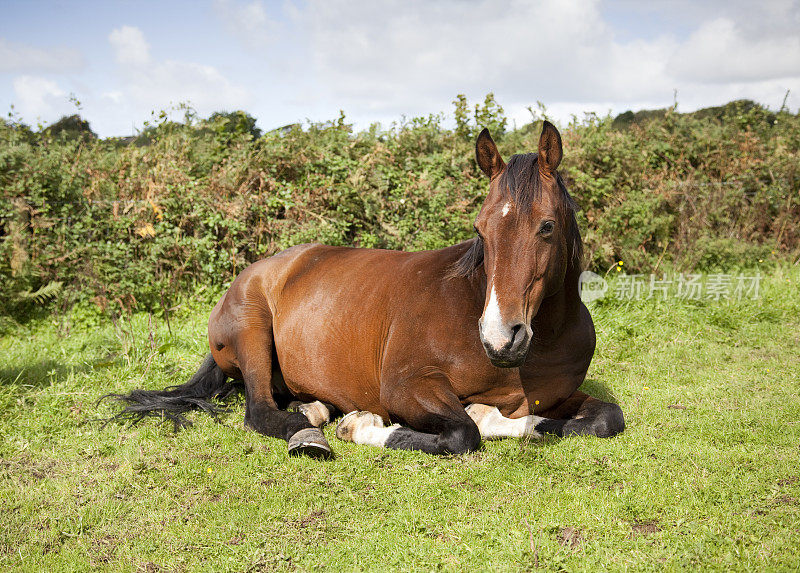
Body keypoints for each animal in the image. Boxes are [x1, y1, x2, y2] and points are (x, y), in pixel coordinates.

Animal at [109, 123, 624, 458]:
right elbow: (462, 435)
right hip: (251, 332)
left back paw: (314, 408)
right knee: (260, 411)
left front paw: (495, 416)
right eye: (480, 229)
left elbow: (604, 419)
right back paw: (309, 433)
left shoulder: (555, 398)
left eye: (547, 227)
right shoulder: (406, 387)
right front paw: (362, 427)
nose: (500, 338)